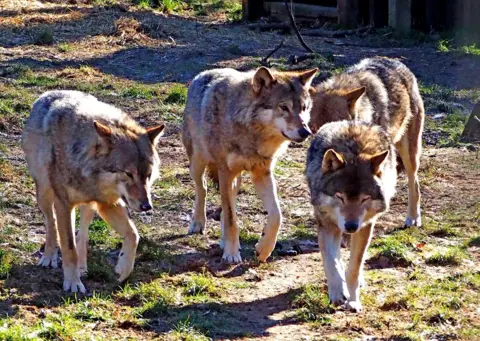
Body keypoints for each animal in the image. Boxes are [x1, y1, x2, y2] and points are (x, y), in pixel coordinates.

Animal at [22, 90, 165, 292]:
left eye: (148, 175)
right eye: (128, 173)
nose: (147, 206)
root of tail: (49, 93)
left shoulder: (107, 203)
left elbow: (133, 235)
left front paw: (123, 269)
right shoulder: (64, 204)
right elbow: (68, 246)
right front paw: (73, 283)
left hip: (89, 207)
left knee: (82, 234)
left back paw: (82, 267)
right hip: (44, 194)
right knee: (51, 223)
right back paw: (49, 257)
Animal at [182, 66, 316, 262]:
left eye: (304, 108)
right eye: (284, 107)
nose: (305, 132)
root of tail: (204, 73)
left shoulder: (262, 173)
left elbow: (277, 215)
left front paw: (264, 249)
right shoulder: (225, 172)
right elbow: (231, 219)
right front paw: (231, 254)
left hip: (234, 180)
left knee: (227, 203)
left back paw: (223, 240)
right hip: (198, 163)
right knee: (203, 188)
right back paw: (198, 223)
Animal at [308, 57, 424, 227]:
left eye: (337, 122)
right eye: (315, 129)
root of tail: (396, 61)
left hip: (409, 154)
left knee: (414, 183)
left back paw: (413, 217)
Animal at [308, 119, 398, 310]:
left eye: (365, 198)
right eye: (340, 196)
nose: (350, 226)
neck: (353, 151)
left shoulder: (365, 226)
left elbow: (354, 268)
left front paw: (354, 300)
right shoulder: (327, 224)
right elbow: (331, 263)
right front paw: (337, 292)